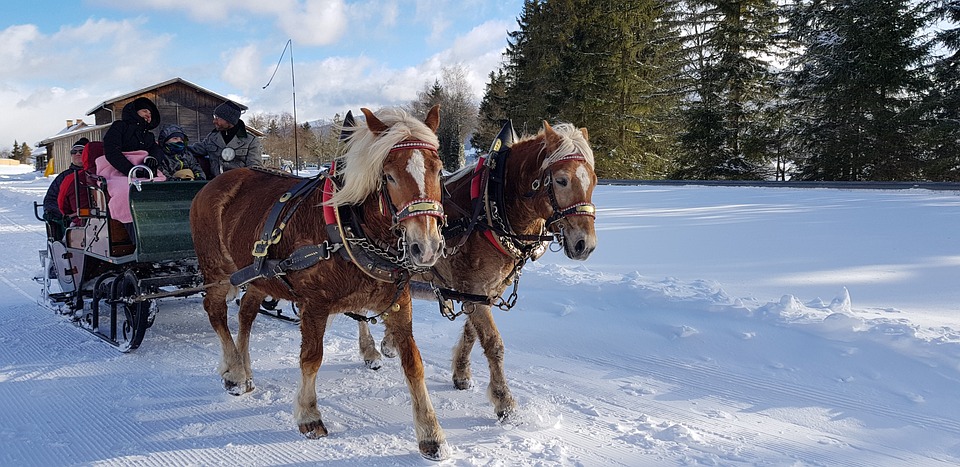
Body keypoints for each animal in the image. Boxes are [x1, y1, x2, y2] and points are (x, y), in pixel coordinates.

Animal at [191, 106, 454, 460]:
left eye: (438, 171)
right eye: (388, 176)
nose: (425, 247)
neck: (350, 228)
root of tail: (213, 184)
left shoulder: (399, 302)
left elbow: (413, 363)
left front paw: (430, 432)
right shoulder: (314, 304)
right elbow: (311, 358)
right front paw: (308, 414)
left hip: (258, 277)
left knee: (245, 313)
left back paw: (244, 369)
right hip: (217, 272)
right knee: (215, 311)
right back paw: (233, 370)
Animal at [356, 119, 596, 420]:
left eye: (594, 180)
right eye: (562, 180)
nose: (585, 245)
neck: (490, 209)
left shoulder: (484, 291)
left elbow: (472, 333)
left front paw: (461, 374)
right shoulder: (474, 287)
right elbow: (493, 343)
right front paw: (504, 402)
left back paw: (387, 344)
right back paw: (370, 352)